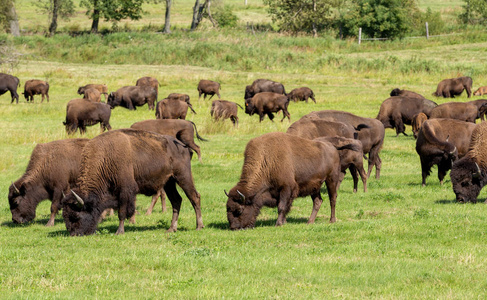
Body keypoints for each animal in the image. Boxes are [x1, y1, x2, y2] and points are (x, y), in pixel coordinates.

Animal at [60, 127, 204, 236]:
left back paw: (199, 226)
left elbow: (122, 212)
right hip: (169, 182)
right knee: (176, 201)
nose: (73, 233)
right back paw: (171, 229)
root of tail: (182, 145)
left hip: (183, 177)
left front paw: (119, 231)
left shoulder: (125, 191)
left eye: (75, 216)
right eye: (65, 216)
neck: (106, 157)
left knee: (194, 197)